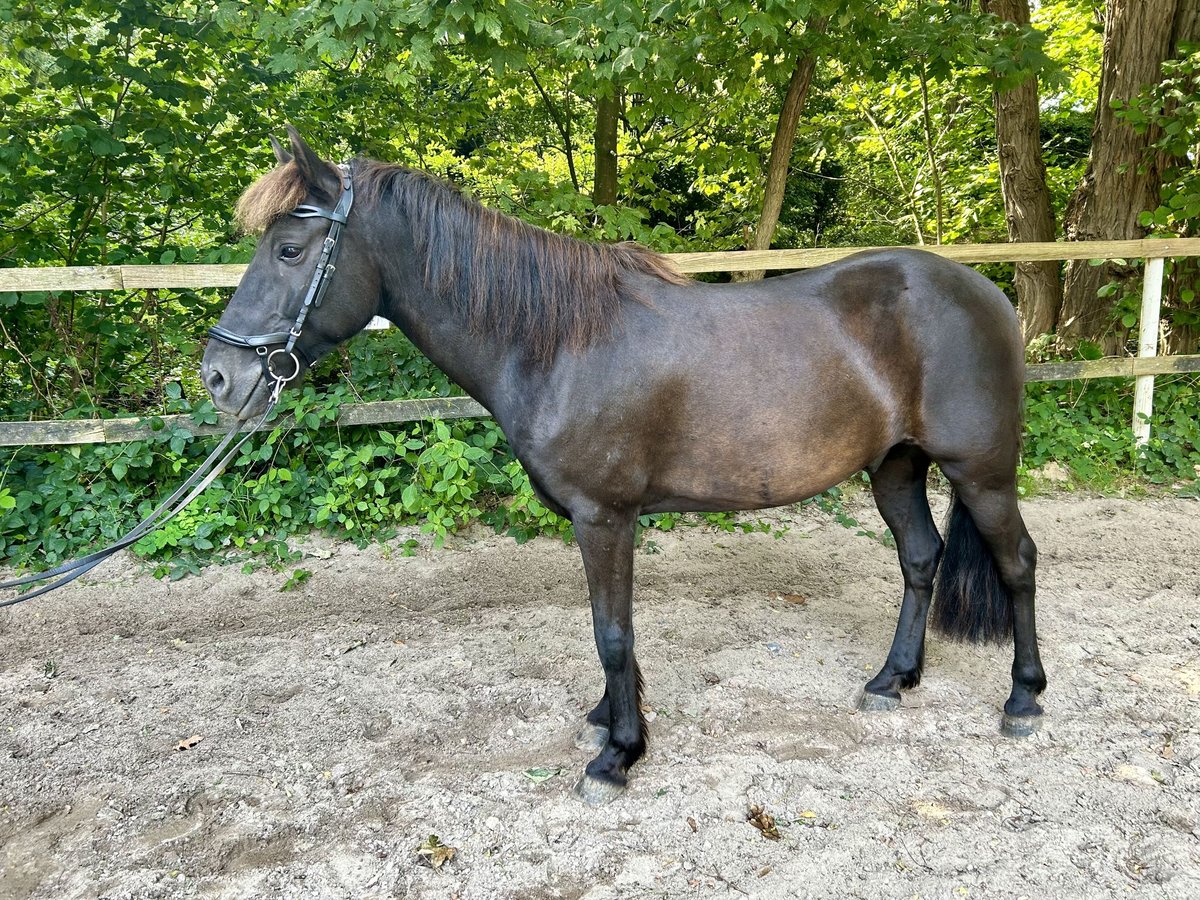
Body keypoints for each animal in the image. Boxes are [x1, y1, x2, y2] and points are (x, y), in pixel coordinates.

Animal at [201, 128, 1046, 811]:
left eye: (289, 250)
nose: (217, 377)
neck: (556, 342)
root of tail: (987, 292)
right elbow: (615, 634)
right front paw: (612, 721)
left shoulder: (604, 516)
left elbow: (612, 632)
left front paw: (618, 756)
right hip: (895, 468)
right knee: (921, 559)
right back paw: (891, 680)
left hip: (981, 472)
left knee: (1017, 564)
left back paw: (1024, 701)